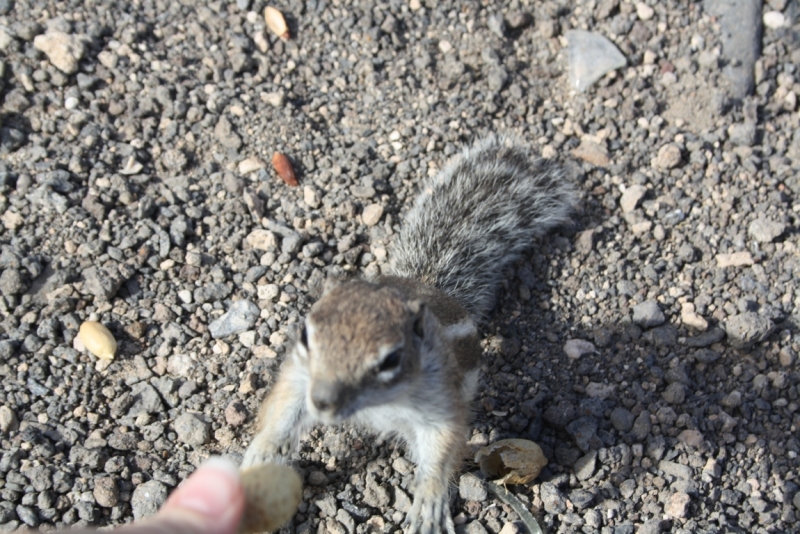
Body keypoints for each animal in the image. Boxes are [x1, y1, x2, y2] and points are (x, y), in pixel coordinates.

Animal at [241, 137, 580, 534]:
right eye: (307, 337)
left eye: (391, 360)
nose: (323, 403)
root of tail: (428, 284)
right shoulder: (299, 377)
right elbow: (283, 409)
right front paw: (262, 452)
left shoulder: (439, 401)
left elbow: (441, 445)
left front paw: (429, 501)